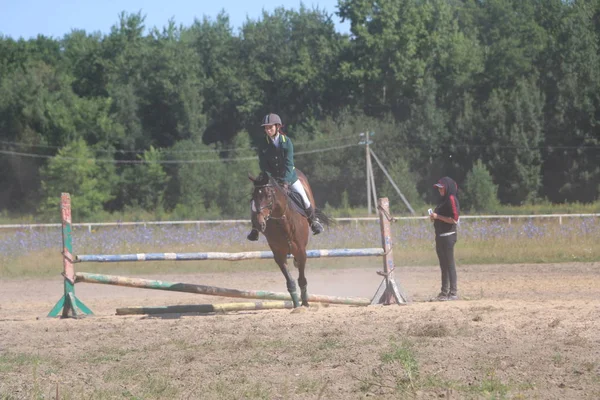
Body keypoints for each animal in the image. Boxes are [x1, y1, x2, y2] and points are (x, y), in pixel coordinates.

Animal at [248, 170, 332, 308]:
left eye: (269, 195)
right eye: (253, 197)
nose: (259, 223)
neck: (283, 222)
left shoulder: (301, 251)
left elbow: (302, 279)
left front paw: (305, 303)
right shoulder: (278, 254)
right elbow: (290, 281)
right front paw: (296, 304)